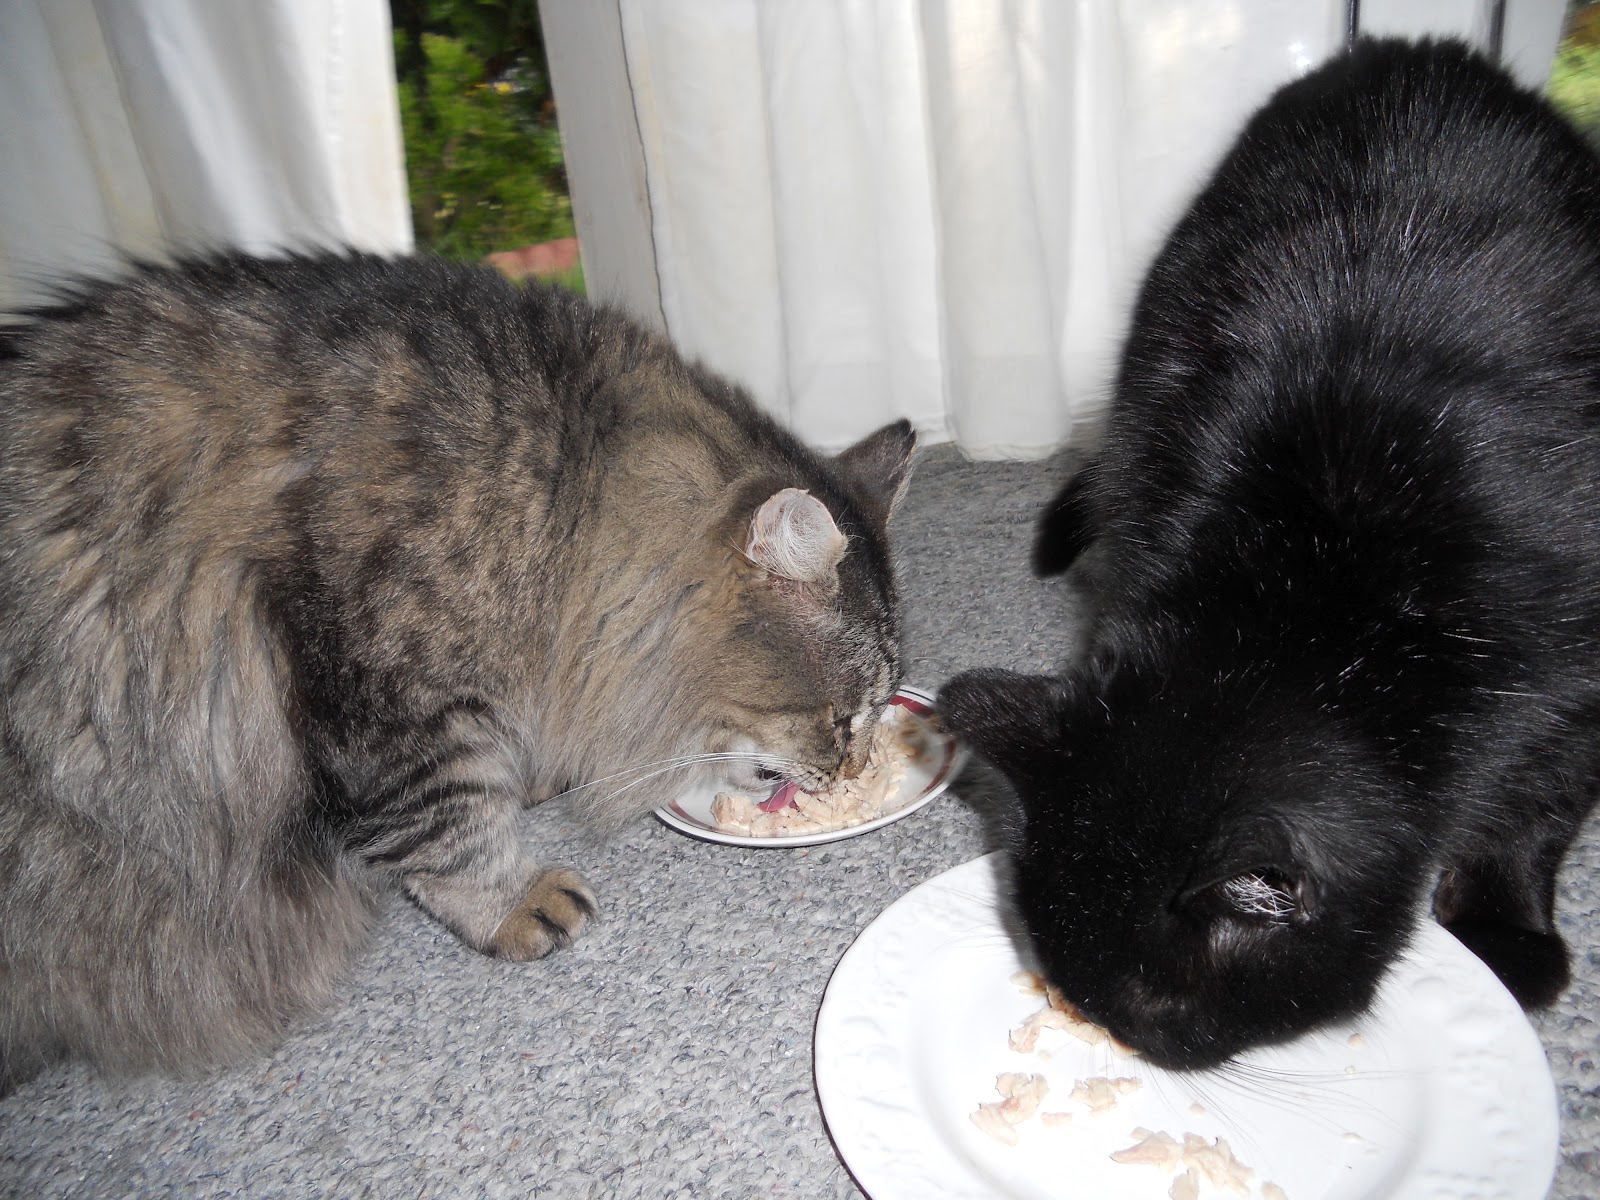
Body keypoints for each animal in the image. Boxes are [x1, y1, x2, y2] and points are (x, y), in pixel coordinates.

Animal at [0, 251, 914, 1091]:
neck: (562, 495)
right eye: (841, 718)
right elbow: (452, 829)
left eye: (872, 718)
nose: (852, 770)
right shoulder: (380, 701)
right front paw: (514, 903)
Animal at [940, 38, 1600, 1071]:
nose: (1132, 1045)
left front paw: (1507, 933)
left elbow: (1540, 807)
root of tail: (1410, 50)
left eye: (1160, 1006)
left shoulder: (1570, 665)